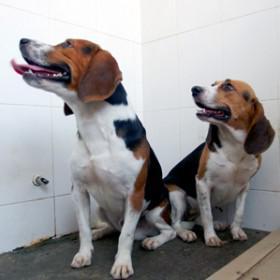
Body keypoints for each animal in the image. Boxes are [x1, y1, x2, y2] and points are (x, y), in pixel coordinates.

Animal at [13, 38, 176, 278]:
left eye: (67, 44)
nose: (23, 40)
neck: (95, 126)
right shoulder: (78, 190)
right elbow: (83, 229)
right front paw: (84, 254)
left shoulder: (134, 194)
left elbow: (125, 236)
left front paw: (122, 263)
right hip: (100, 208)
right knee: (113, 228)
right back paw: (101, 231)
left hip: (156, 212)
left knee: (167, 231)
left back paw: (154, 241)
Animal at [163, 80, 274, 246]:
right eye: (212, 84)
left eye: (228, 86)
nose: (194, 89)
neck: (233, 145)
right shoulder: (202, 183)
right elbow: (207, 214)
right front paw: (211, 237)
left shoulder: (245, 186)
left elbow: (239, 213)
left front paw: (236, 231)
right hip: (177, 195)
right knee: (176, 223)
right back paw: (185, 233)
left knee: (196, 218)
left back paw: (217, 224)